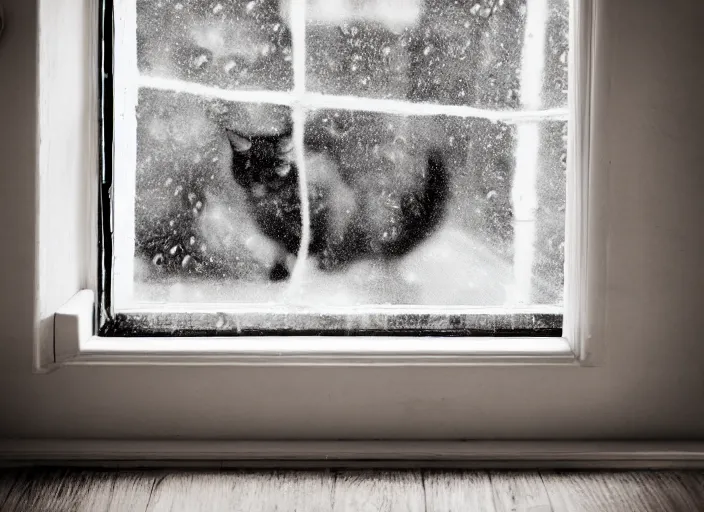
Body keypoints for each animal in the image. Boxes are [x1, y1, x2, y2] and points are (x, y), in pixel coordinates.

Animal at [227, 112, 446, 282]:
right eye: (249, 166)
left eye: (277, 166)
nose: (261, 180)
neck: (274, 202)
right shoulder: (277, 231)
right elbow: (282, 252)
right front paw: (279, 274)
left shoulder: (320, 213)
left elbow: (302, 248)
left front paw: (296, 271)